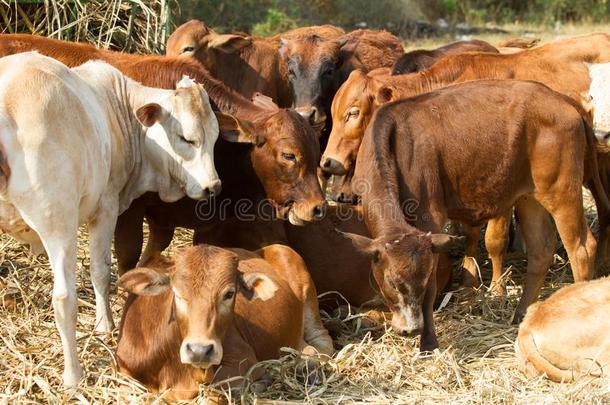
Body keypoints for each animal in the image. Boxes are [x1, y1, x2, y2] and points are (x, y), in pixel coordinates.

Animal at [0, 52, 221, 386]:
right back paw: (73, 376)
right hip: (59, 222)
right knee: (64, 298)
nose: (213, 186)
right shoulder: (105, 207)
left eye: (215, 138)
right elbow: (101, 272)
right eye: (187, 138)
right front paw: (105, 325)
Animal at [115, 243, 332, 398]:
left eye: (229, 294)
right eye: (177, 293)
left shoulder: (242, 357)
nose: (199, 350)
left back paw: (308, 367)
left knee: (321, 340)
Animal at [338, 79, 604, 350]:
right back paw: (520, 314)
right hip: (530, 198)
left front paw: (428, 342)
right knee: (541, 250)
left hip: (562, 193)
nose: (411, 329)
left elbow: (433, 286)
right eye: (391, 281)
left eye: (421, 279)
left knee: (581, 249)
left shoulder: (430, 218)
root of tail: (562, 100)